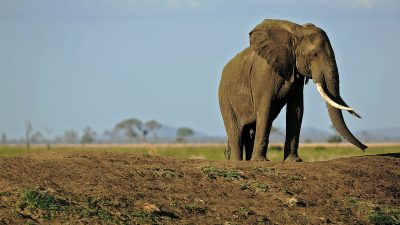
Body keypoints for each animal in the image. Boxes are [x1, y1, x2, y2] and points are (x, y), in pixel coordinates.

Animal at [217, 18, 368, 161]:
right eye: (313, 54)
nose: (365, 148)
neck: (296, 33)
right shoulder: (264, 74)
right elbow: (266, 108)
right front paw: (261, 161)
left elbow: (296, 109)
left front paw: (294, 161)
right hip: (225, 100)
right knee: (236, 132)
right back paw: (240, 161)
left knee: (249, 132)